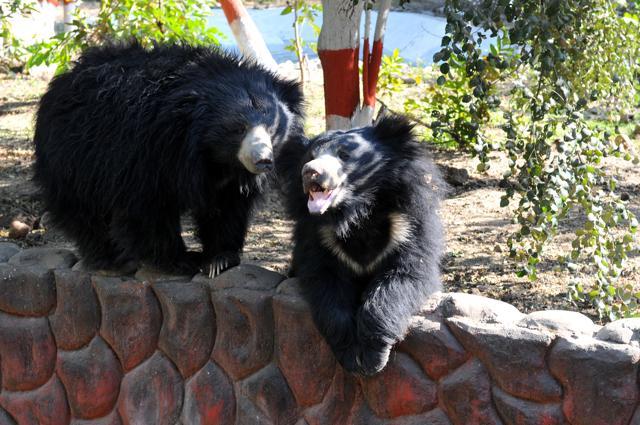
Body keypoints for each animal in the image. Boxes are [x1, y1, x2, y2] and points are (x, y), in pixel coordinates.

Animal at [33, 42, 304, 276]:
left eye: (272, 128)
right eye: (238, 129)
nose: (263, 161)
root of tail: (64, 79)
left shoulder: (225, 175)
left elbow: (228, 207)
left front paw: (219, 260)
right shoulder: (146, 151)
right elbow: (147, 207)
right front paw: (182, 261)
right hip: (72, 158)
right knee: (83, 212)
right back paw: (110, 258)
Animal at [277, 114, 444, 375]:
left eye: (345, 155)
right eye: (309, 157)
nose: (311, 172)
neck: (355, 213)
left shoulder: (408, 226)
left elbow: (404, 275)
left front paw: (373, 357)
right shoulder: (317, 236)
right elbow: (325, 281)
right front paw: (351, 355)